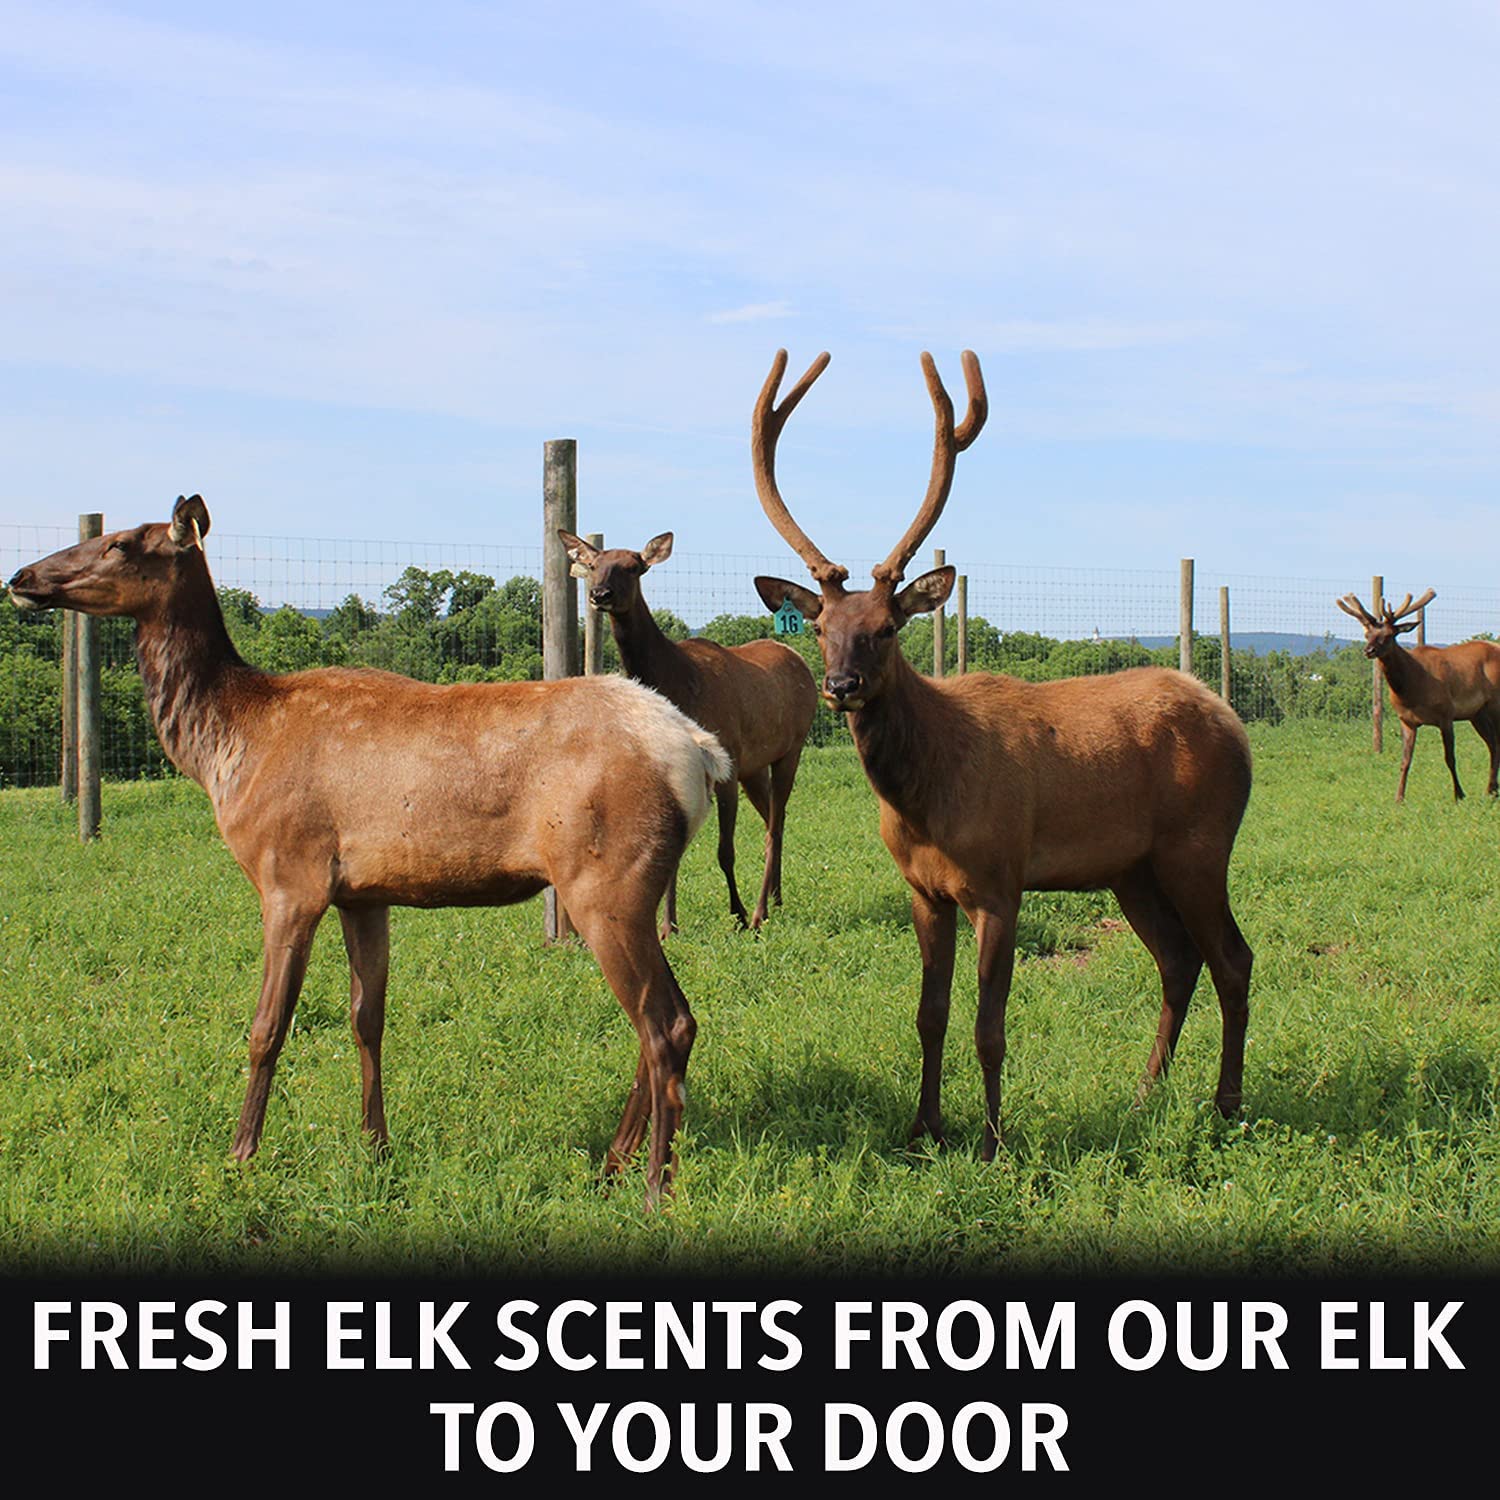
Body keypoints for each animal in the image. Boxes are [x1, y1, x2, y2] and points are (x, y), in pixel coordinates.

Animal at [7, 496, 735, 1205]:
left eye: (122, 542)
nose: (20, 577)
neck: (227, 750)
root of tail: (701, 752)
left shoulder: (288, 875)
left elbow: (267, 1026)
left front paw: (240, 1157)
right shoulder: (363, 894)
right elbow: (367, 1018)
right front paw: (375, 1146)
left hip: (605, 879)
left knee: (666, 1024)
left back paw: (653, 1187)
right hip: (626, 887)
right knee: (663, 1022)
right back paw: (612, 1164)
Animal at [556, 528, 818, 935]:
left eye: (633, 566)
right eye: (595, 564)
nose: (600, 595)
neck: (677, 682)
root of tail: (799, 659)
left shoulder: (727, 761)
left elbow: (725, 851)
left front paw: (738, 913)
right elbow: (672, 857)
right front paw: (668, 926)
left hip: (790, 748)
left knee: (774, 826)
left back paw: (760, 911)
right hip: (755, 766)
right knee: (775, 818)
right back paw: (776, 897)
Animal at [749, 349, 1255, 1158]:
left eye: (887, 628)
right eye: (821, 626)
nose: (840, 686)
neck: (925, 802)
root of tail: (1232, 722)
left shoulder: (1000, 882)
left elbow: (990, 1027)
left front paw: (991, 1143)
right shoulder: (924, 890)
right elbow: (929, 1016)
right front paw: (923, 1126)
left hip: (1200, 846)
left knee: (1233, 959)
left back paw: (1225, 1104)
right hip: (1134, 869)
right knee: (1178, 961)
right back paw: (1146, 1094)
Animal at [1335, 589, 1500, 803]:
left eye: (1389, 635)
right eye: (1367, 634)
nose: (1368, 650)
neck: (1412, 689)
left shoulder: (1446, 714)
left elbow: (1450, 757)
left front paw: (1459, 794)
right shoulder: (1407, 720)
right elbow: (1405, 760)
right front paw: (1398, 798)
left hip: (1495, 703)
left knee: (1497, 743)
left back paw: (1491, 789)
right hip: (1477, 714)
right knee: (1493, 745)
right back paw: (1491, 790)